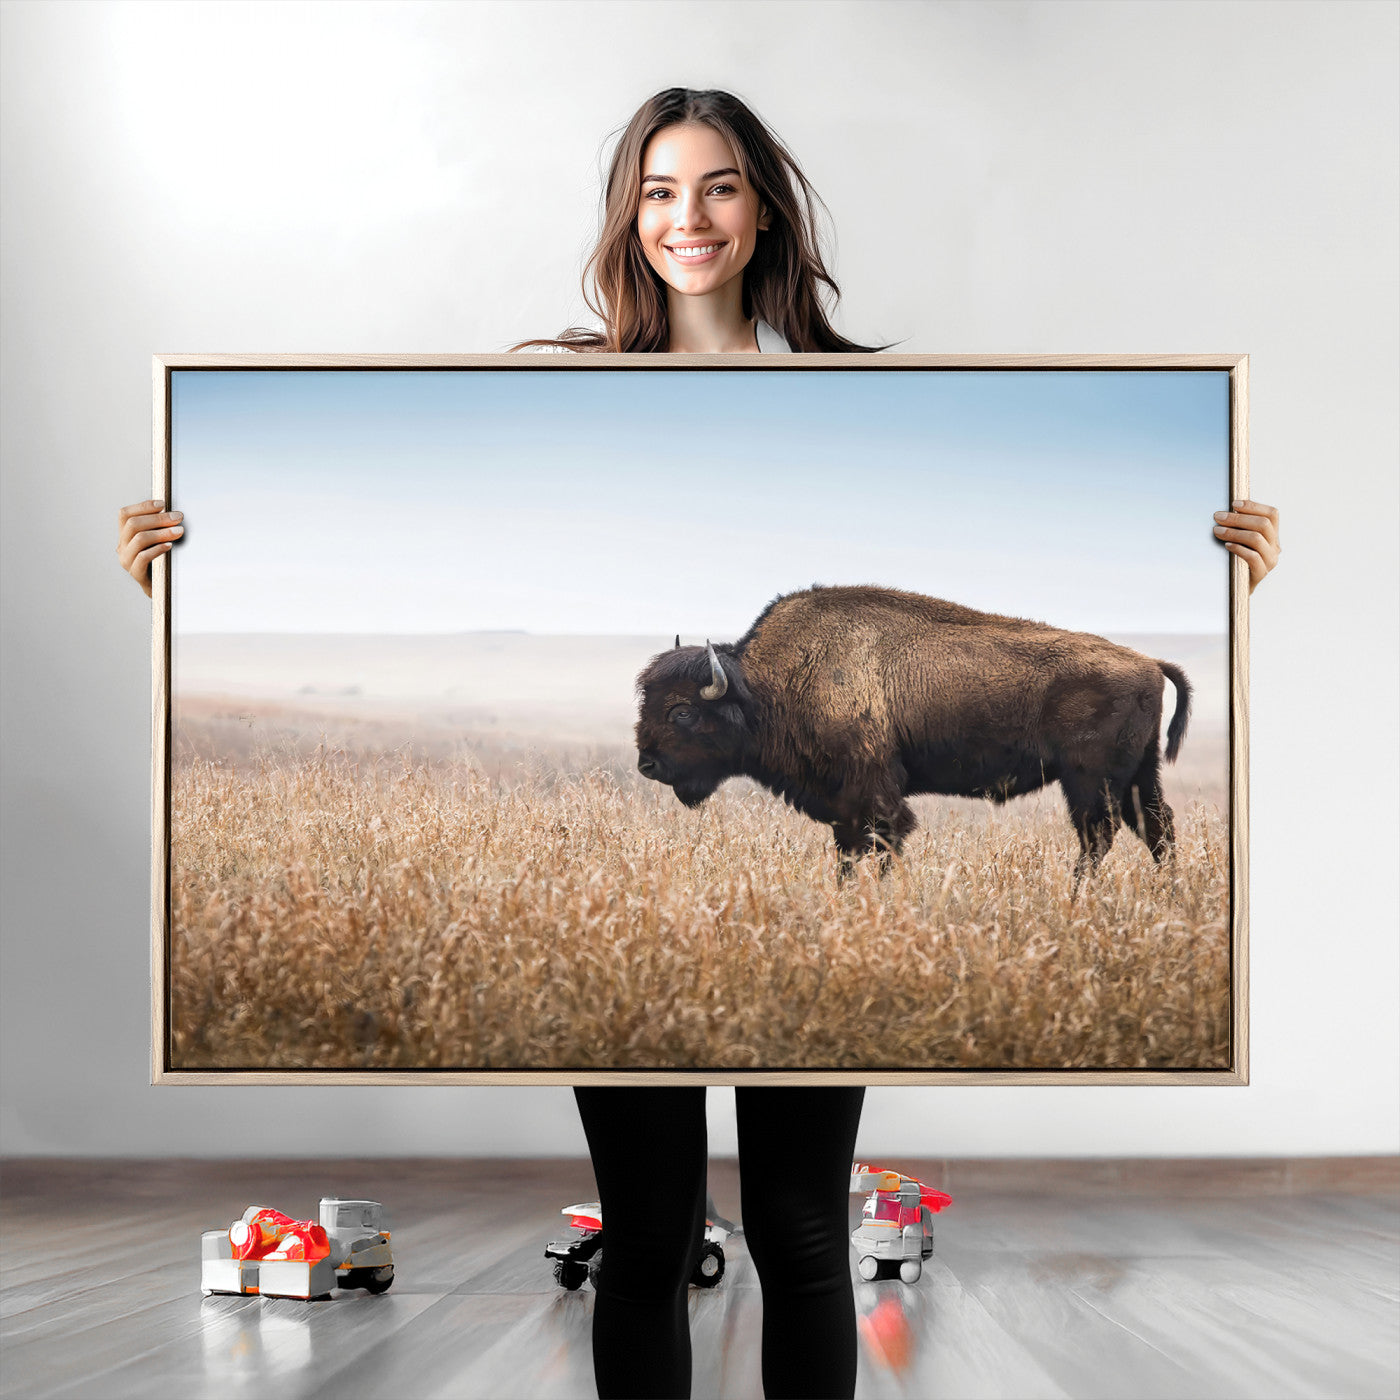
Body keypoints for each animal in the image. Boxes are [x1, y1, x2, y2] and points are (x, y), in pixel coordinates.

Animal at [634, 585, 1192, 886]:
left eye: (682, 711)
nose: (647, 764)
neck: (768, 685)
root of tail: (1149, 662)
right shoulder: (844, 805)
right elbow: (848, 851)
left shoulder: (874, 795)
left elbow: (882, 843)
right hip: (1138, 775)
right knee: (1156, 829)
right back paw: (1167, 895)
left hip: (1089, 780)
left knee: (1100, 834)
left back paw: (1076, 896)